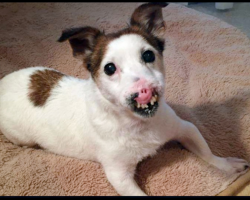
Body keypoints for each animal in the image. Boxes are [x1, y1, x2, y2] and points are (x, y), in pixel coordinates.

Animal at [0, 2, 249, 196]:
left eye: (148, 55)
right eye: (109, 68)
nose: (143, 89)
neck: (139, 124)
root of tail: (3, 82)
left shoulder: (186, 129)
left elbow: (208, 153)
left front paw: (227, 165)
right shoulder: (119, 175)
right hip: (21, 137)